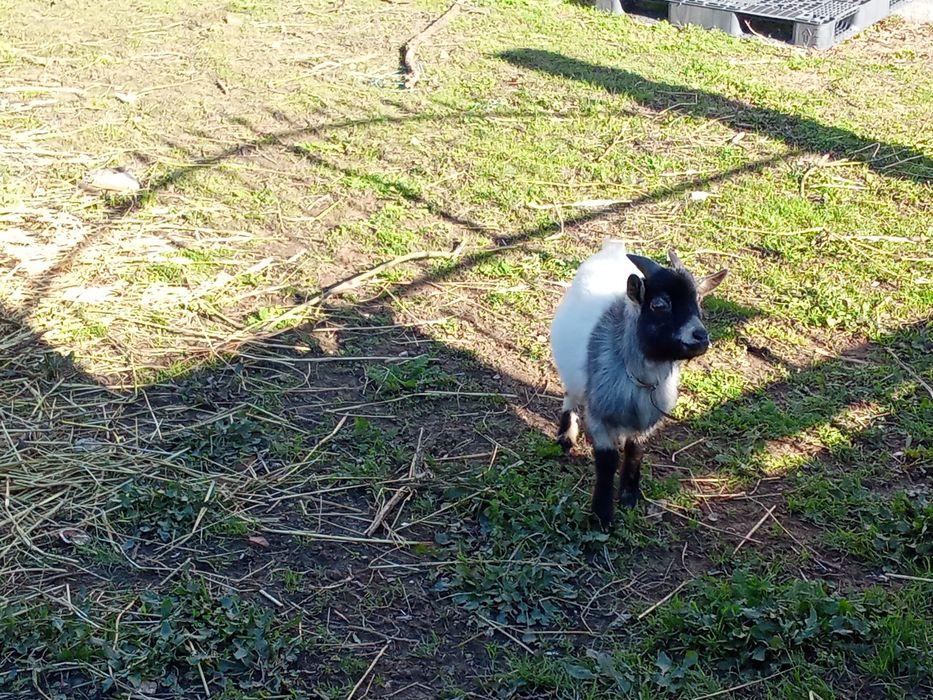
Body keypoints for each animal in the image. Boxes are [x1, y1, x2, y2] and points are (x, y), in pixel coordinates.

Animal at [550, 240, 727, 529]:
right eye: (659, 305)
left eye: (698, 302)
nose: (701, 337)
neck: (640, 378)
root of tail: (612, 248)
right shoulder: (600, 416)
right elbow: (607, 461)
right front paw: (602, 515)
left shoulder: (647, 421)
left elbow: (635, 451)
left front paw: (629, 497)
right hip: (573, 375)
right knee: (570, 396)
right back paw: (565, 435)